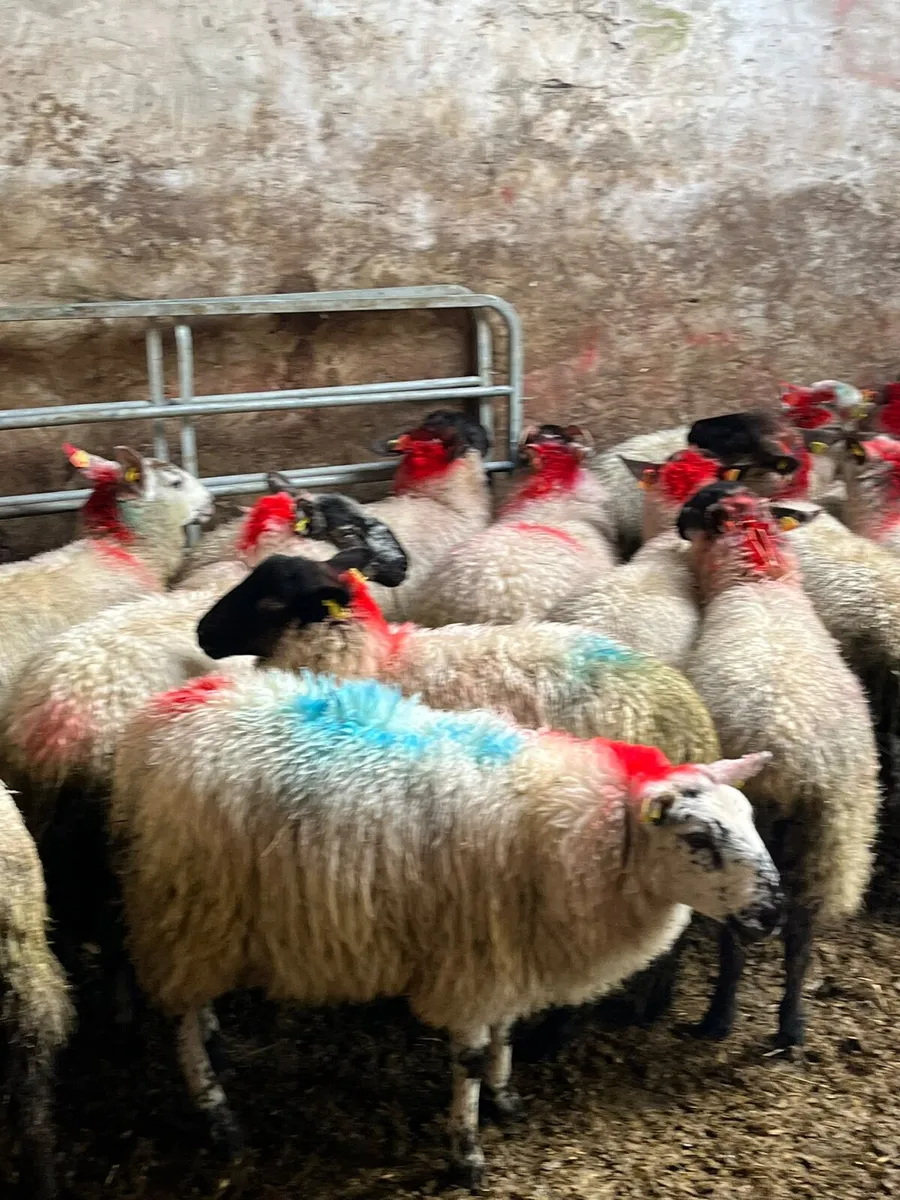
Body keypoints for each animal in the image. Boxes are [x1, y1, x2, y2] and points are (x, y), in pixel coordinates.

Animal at [110, 666, 781, 1186]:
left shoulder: (511, 945)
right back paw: (216, 1111)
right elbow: (470, 1057)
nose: (773, 913)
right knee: (178, 1013)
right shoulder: (473, 956)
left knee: (194, 1002)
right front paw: (467, 1152)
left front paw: (506, 1098)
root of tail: (162, 717)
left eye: (750, 818)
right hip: (186, 906)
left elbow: (506, 1030)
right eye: (699, 839)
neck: (584, 832)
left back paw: (217, 1041)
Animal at [677, 482, 880, 1049]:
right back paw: (791, 1026)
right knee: (802, 933)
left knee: (741, 931)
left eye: (696, 509)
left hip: (750, 835)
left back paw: (718, 1017)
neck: (760, 581)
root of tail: (798, 763)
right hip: (833, 839)